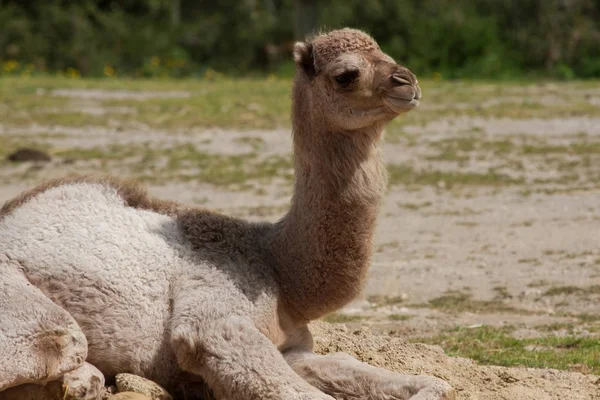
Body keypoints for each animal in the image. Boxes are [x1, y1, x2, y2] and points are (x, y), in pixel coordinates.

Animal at [0, 28, 450, 400]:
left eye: (387, 53)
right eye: (346, 74)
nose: (407, 82)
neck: (277, 267)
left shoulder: (294, 348)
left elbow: (420, 382)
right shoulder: (215, 318)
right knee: (59, 340)